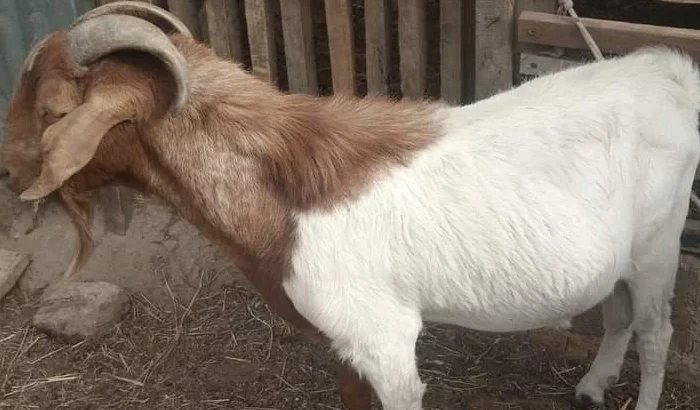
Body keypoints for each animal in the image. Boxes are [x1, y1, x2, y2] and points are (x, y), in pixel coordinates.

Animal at [3, 2, 699, 409]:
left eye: (53, 111)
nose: (8, 172)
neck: (282, 196)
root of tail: (666, 69)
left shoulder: (385, 342)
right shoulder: (348, 348)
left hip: (658, 249)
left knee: (656, 332)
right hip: (618, 258)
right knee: (617, 316)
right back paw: (590, 388)